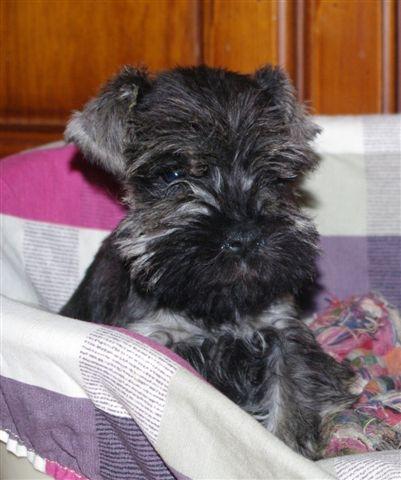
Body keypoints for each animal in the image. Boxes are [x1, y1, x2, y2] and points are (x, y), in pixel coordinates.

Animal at [61, 64, 356, 458]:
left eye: (274, 174)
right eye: (172, 174)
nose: (245, 237)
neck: (215, 306)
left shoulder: (282, 333)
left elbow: (289, 401)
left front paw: (288, 449)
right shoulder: (156, 338)